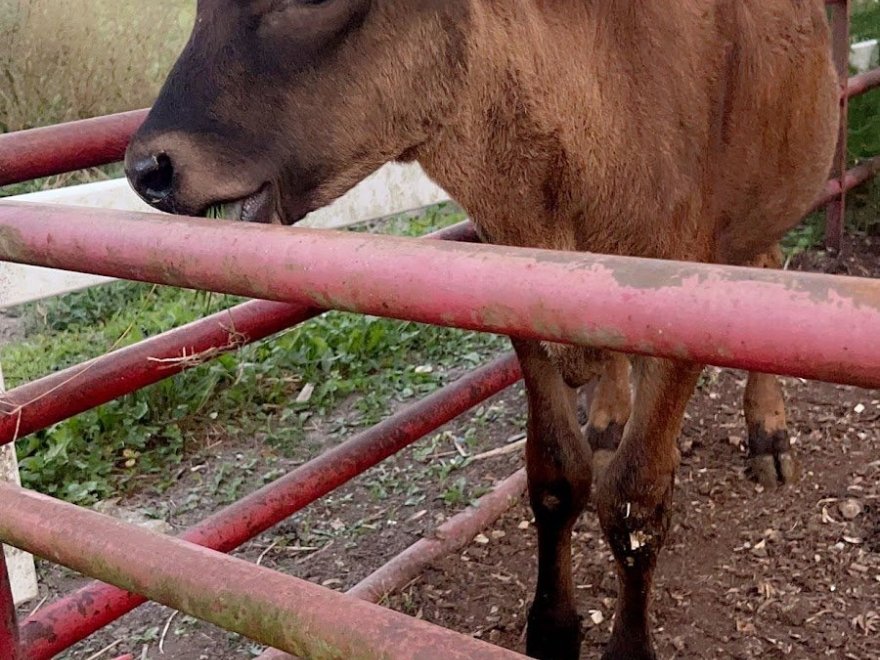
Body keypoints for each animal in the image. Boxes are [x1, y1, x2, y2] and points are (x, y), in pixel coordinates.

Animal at [125, 2, 840, 656]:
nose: (147, 169)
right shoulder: (519, 313)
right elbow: (555, 479)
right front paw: (551, 629)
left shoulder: (683, 316)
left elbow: (634, 504)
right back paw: (609, 414)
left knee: (768, 268)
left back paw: (768, 431)